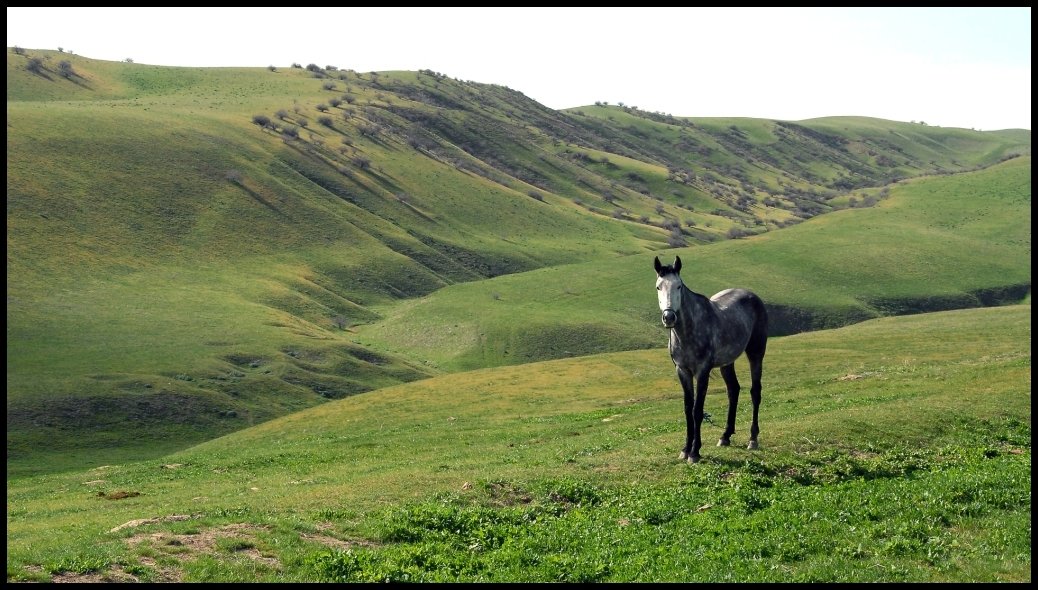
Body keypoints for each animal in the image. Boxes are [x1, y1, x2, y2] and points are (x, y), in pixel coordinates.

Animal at [651, 255, 768, 463]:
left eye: (678, 286)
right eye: (658, 287)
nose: (669, 317)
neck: (687, 331)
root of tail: (753, 296)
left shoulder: (702, 371)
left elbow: (697, 410)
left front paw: (695, 452)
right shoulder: (682, 371)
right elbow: (688, 409)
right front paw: (685, 449)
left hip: (756, 353)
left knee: (755, 392)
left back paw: (752, 439)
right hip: (727, 363)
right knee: (733, 390)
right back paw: (725, 436)